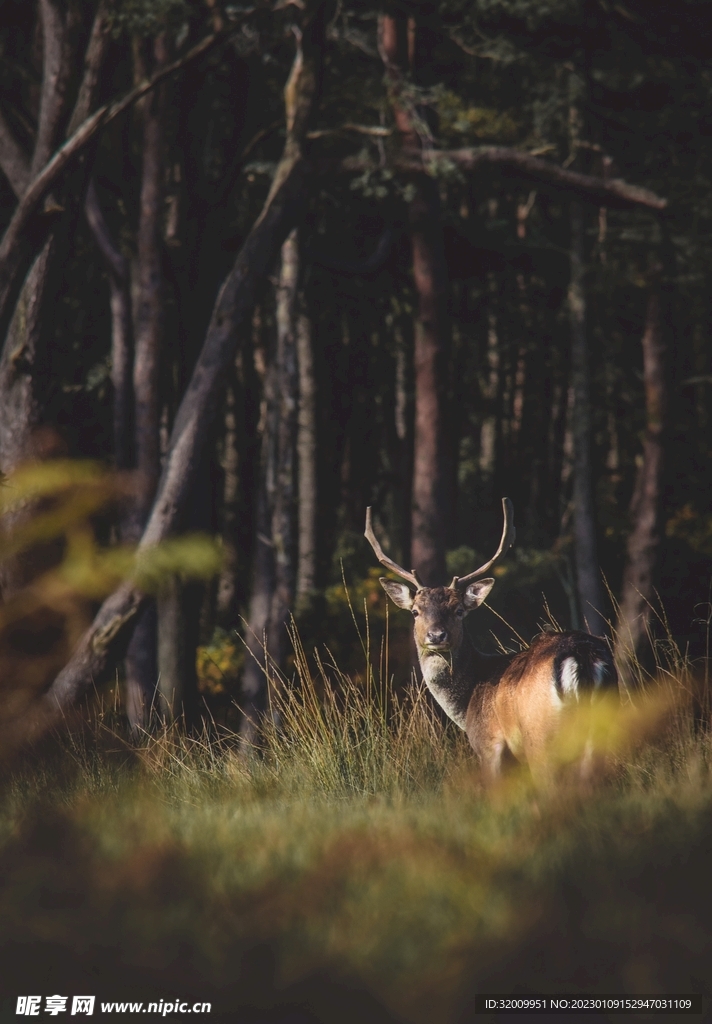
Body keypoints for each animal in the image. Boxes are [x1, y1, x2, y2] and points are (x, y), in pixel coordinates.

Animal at [365, 499, 619, 784]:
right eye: (415, 611)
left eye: (459, 610)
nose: (436, 636)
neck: (467, 705)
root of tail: (581, 655)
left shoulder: (489, 745)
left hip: (540, 736)